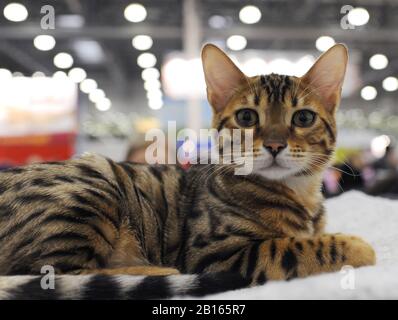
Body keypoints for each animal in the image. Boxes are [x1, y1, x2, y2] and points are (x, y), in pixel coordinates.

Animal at [0, 43, 374, 298]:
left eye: (304, 118)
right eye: (247, 117)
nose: (275, 144)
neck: (299, 193)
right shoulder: (217, 254)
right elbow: (295, 246)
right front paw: (358, 247)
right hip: (90, 190)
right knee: (54, 274)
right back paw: (156, 271)